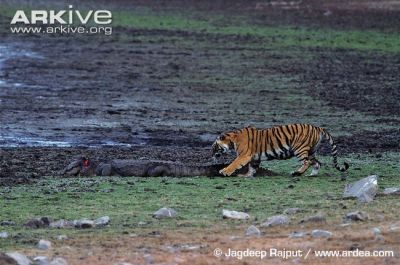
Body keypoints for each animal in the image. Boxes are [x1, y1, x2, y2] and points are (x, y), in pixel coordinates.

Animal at [212, 123, 346, 176]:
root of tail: (317, 127)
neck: (233, 139)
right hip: (311, 151)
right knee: (317, 163)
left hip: (300, 148)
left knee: (306, 162)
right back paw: (312, 174)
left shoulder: (243, 155)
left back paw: (297, 173)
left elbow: (234, 164)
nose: (211, 155)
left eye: (214, 147)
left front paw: (224, 171)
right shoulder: (254, 158)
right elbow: (252, 168)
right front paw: (246, 176)